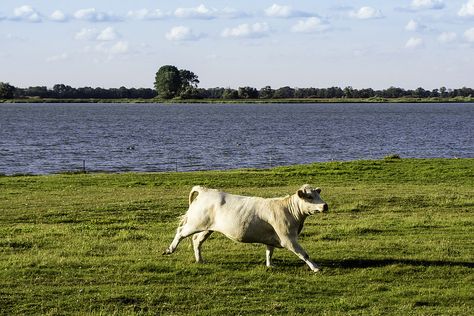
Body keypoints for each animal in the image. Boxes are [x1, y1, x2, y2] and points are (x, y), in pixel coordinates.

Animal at [161, 185, 328, 272]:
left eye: (317, 195)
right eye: (309, 197)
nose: (325, 205)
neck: (288, 209)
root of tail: (206, 190)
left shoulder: (273, 238)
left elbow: (269, 251)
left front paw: (270, 265)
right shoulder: (288, 238)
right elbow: (304, 254)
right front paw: (315, 268)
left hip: (207, 228)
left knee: (196, 241)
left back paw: (199, 260)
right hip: (195, 223)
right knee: (180, 232)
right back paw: (169, 250)